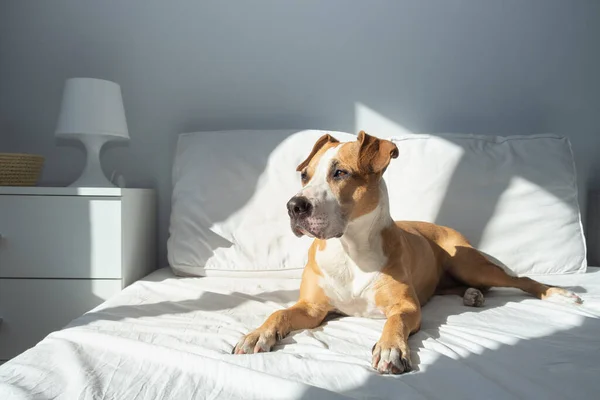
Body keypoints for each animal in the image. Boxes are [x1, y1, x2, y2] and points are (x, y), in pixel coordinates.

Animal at [232, 130, 584, 374]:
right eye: (305, 175)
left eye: (340, 173)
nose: (294, 206)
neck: (349, 250)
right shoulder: (312, 307)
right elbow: (280, 313)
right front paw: (257, 334)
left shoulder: (406, 306)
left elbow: (396, 322)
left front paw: (390, 349)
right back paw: (473, 296)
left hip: (469, 263)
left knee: (519, 280)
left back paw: (558, 293)